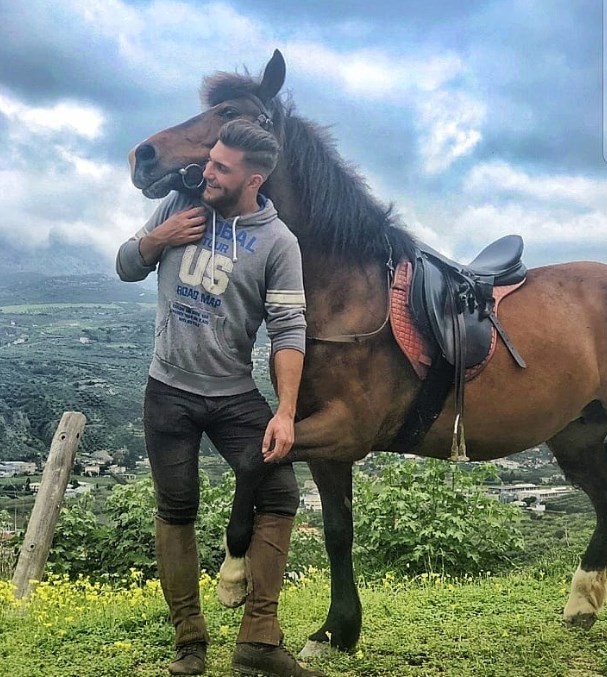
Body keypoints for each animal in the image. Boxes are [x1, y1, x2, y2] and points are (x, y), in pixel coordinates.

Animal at [129, 50, 607, 656]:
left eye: (231, 114)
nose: (143, 155)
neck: (348, 292)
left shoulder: (343, 430)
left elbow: (251, 460)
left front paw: (235, 577)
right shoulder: (323, 442)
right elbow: (337, 531)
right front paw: (338, 629)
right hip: (578, 433)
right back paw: (581, 602)